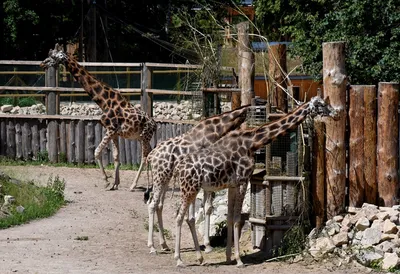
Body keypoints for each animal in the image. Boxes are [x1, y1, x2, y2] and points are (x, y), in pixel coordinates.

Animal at [40, 44, 156, 191]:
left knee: (144, 156)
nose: (42, 63)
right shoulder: (114, 132)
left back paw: (134, 185)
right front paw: (115, 183)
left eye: (54, 56)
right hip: (142, 137)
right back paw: (151, 184)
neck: (103, 101)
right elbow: (116, 156)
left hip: (144, 136)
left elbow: (96, 152)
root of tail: (154, 124)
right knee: (151, 153)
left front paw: (106, 182)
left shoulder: (110, 129)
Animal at [142, 105, 250, 255]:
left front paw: (205, 244)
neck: (213, 133)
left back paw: (164, 245)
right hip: (160, 176)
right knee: (152, 204)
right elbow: (205, 208)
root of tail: (151, 155)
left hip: (165, 177)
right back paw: (152, 246)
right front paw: (207, 245)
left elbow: (206, 208)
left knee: (158, 204)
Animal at [173, 95, 340, 266]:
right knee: (179, 216)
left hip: (191, 189)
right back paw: (179, 260)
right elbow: (237, 219)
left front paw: (228, 257)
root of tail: (179, 168)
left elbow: (230, 217)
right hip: (190, 189)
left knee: (185, 216)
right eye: (321, 104)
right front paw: (239, 260)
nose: (336, 114)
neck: (252, 142)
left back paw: (199, 258)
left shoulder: (233, 184)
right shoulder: (243, 180)